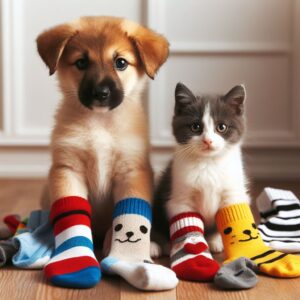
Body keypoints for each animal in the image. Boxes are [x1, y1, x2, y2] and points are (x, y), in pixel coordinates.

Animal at [37, 15, 169, 241]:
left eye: (120, 63)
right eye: (81, 62)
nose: (100, 93)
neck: (100, 122)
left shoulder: (131, 172)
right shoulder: (68, 171)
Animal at [154, 82, 250, 253]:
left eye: (221, 127)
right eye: (195, 126)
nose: (208, 141)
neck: (208, 163)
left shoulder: (232, 192)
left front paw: (216, 240)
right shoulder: (180, 197)